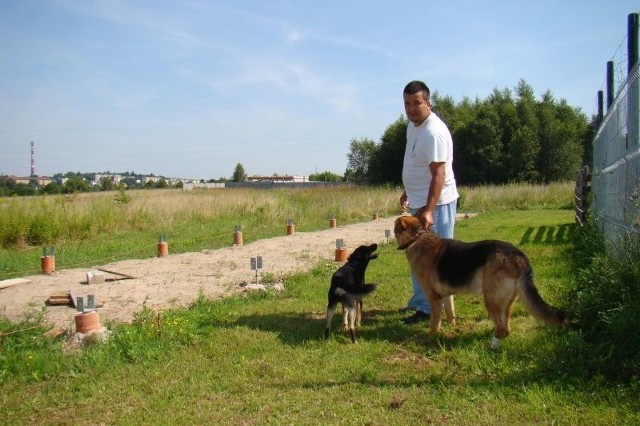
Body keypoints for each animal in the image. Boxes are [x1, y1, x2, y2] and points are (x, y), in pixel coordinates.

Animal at [392, 216, 568, 350]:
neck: (417, 238)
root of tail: (517, 255)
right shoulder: (447, 295)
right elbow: (450, 312)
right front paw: (452, 327)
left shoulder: (433, 297)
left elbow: (435, 321)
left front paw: (431, 336)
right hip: (506, 302)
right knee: (506, 327)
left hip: (491, 299)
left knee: (502, 328)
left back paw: (492, 346)